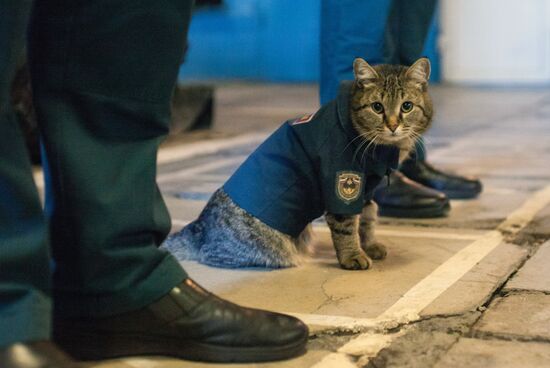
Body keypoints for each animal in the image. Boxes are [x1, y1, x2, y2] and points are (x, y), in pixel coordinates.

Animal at [162, 57, 434, 270]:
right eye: (377, 107)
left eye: (407, 106)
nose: (393, 125)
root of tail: (200, 225)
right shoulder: (343, 180)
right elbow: (347, 227)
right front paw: (353, 256)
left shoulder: (366, 189)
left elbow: (367, 217)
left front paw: (369, 246)